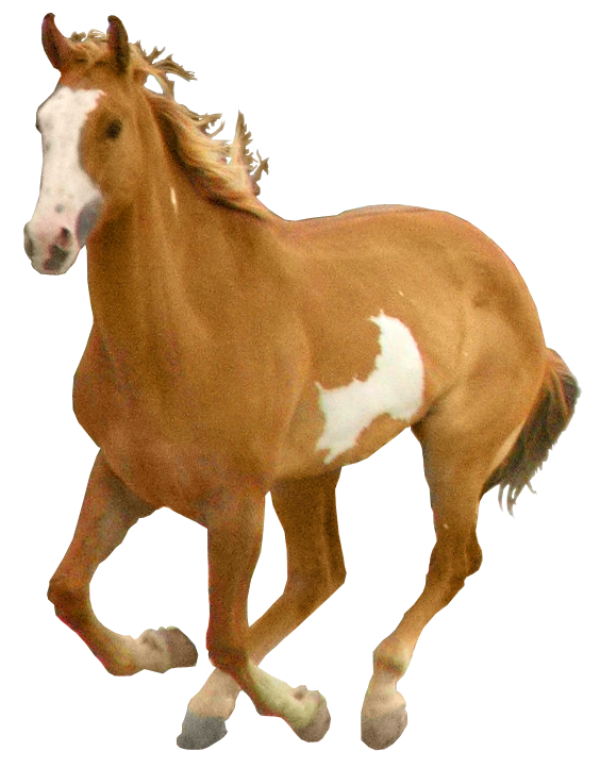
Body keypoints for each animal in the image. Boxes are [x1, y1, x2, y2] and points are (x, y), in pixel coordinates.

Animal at [24, 13, 580, 751]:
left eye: (111, 126)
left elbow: (227, 635)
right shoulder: (123, 473)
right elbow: (68, 590)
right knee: (322, 574)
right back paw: (214, 704)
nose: (47, 241)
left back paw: (379, 700)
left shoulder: (237, 503)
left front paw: (307, 711)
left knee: (453, 560)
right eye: (43, 124)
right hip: (310, 471)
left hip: (453, 454)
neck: (191, 328)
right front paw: (161, 648)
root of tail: (521, 298)